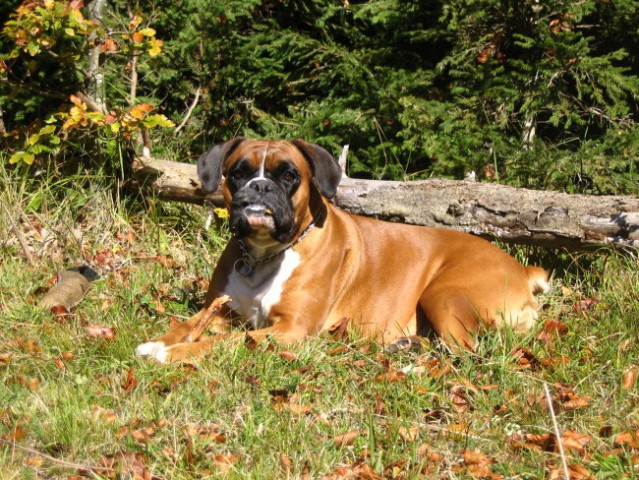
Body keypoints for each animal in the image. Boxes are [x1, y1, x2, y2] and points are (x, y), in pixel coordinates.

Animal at [136, 137, 552, 362]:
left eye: (289, 175)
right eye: (237, 173)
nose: (259, 187)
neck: (266, 253)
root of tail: (522, 270)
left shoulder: (291, 329)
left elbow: (227, 341)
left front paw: (172, 354)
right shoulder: (222, 311)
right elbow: (188, 325)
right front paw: (157, 343)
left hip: (445, 292)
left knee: (466, 351)